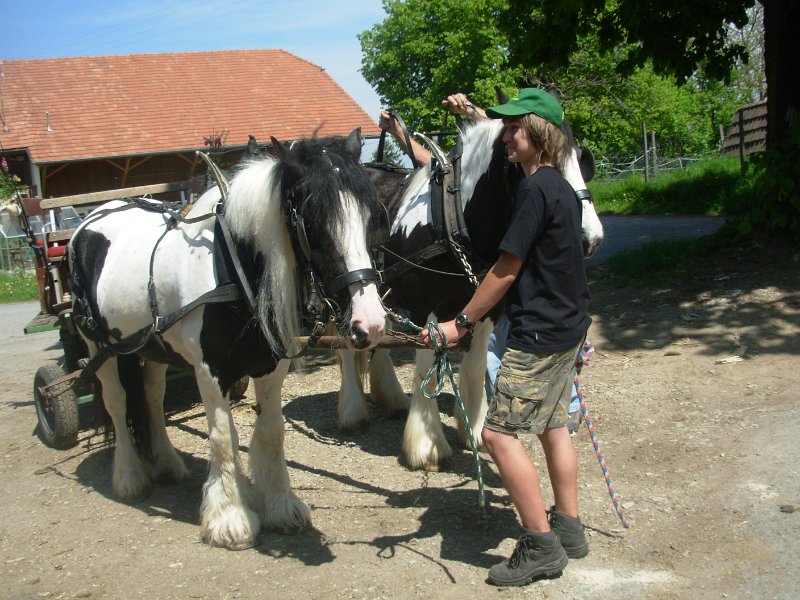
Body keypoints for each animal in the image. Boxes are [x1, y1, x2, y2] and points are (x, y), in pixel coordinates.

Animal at [67, 128, 388, 549]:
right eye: (315, 220)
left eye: (371, 216)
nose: (373, 323)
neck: (233, 267)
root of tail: (94, 215)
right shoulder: (210, 369)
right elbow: (222, 436)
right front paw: (230, 518)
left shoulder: (271, 366)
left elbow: (270, 433)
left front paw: (279, 505)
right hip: (99, 347)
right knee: (118, 402)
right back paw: (130, 477)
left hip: (151, 347)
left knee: (152, 396)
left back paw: (167, 464)